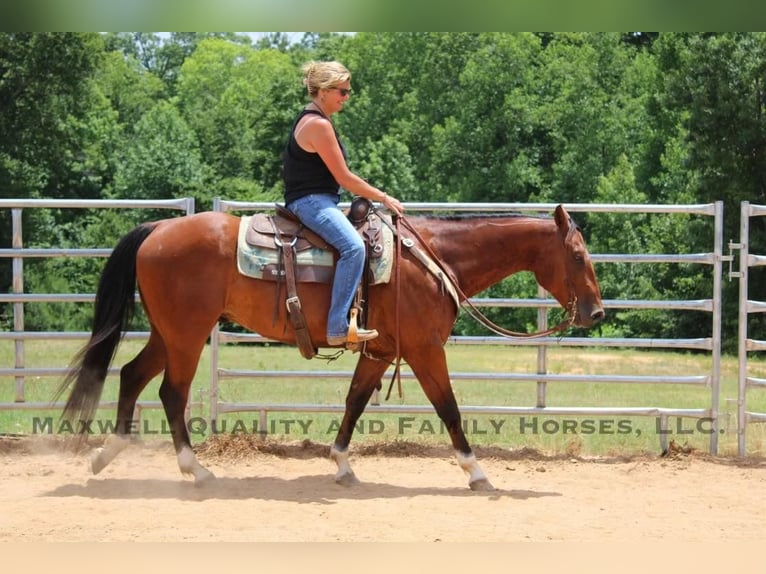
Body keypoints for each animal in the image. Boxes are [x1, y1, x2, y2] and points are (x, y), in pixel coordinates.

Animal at [56, 204, 604, 490]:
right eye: (577, 256)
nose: (596, 313)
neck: (433, 259)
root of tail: (158, 228)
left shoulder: (381, 353)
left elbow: (355, 402)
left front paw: (341, 463)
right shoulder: (425, 350)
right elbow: (448, 407)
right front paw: (477, 471)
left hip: (168, 333)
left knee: (131, 374)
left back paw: (109, 454)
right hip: (187, 335)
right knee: (171, 392)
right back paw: (197, 470)